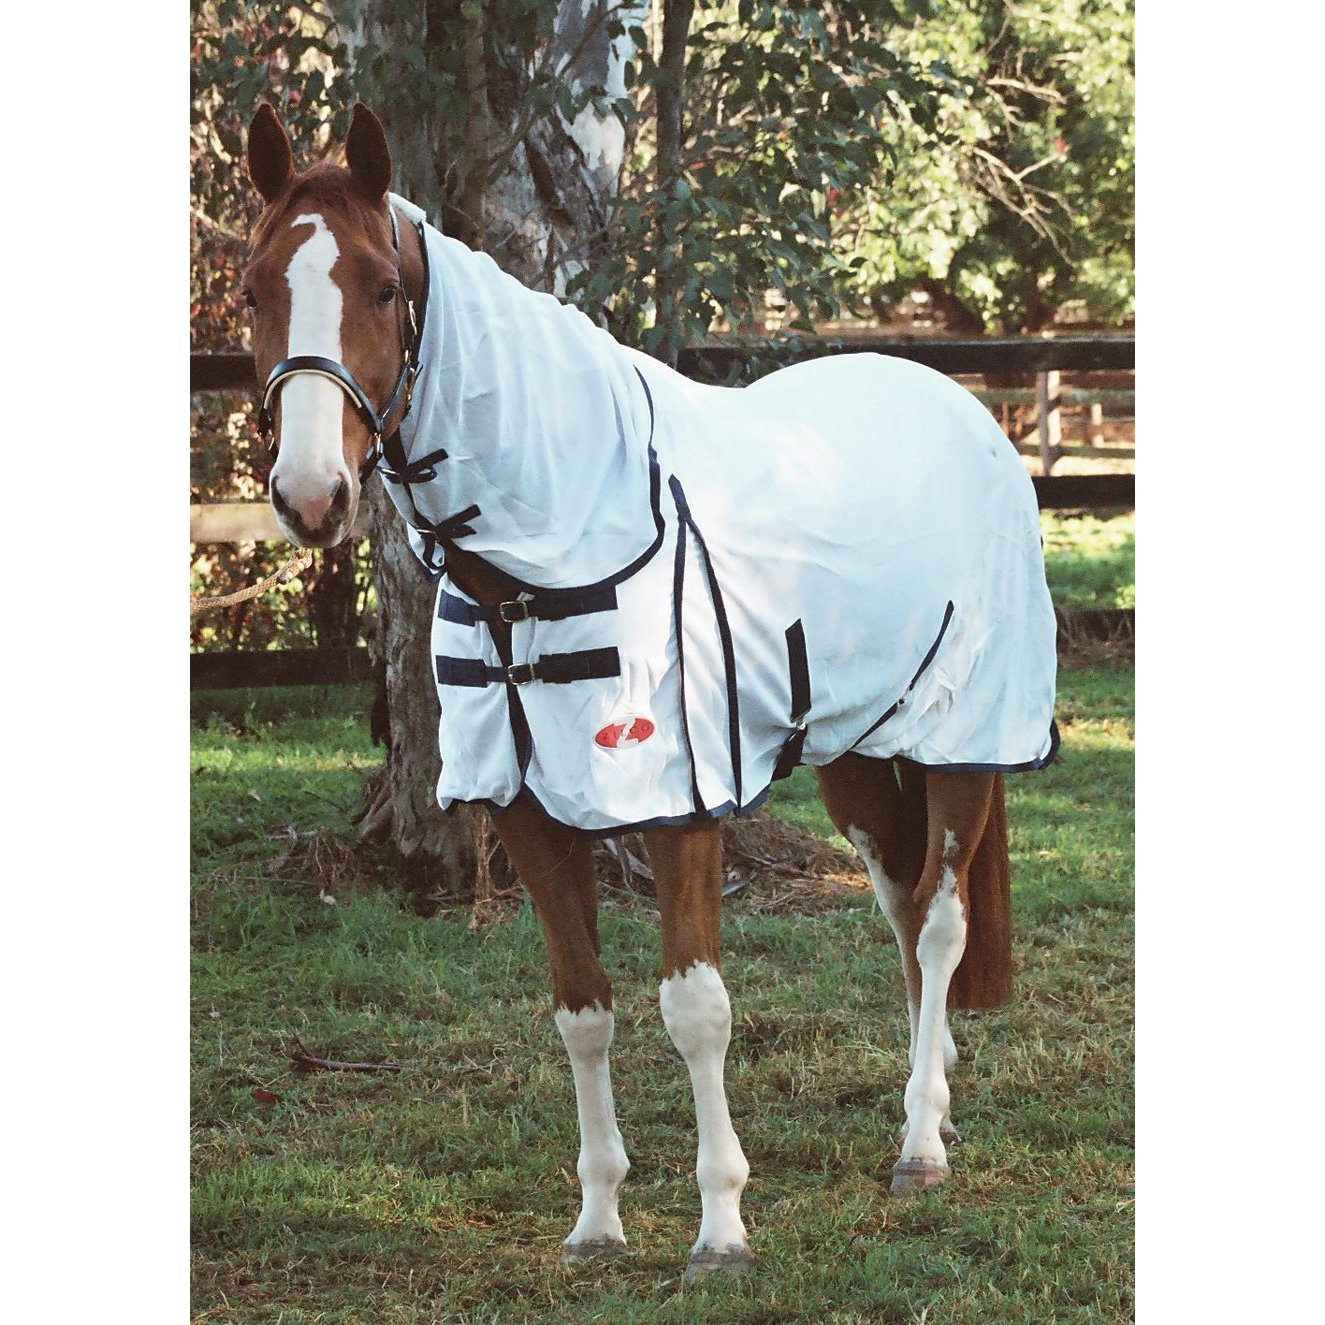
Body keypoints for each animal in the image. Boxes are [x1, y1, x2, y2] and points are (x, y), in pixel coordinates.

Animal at [238, 102, 1058, 1281]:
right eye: (253, 289)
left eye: (384, 289)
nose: (311, 496)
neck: (554, 536)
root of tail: (968, 415)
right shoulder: (526, 811)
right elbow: (582, 1009)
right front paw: (597, 1219)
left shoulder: (679, 803)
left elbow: (695, 1009)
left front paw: (720, 1228)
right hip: (857, 755)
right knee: (903, 918)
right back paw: (929, 1109)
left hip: (963, 742)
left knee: (940, 926)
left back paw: (919, 1145)